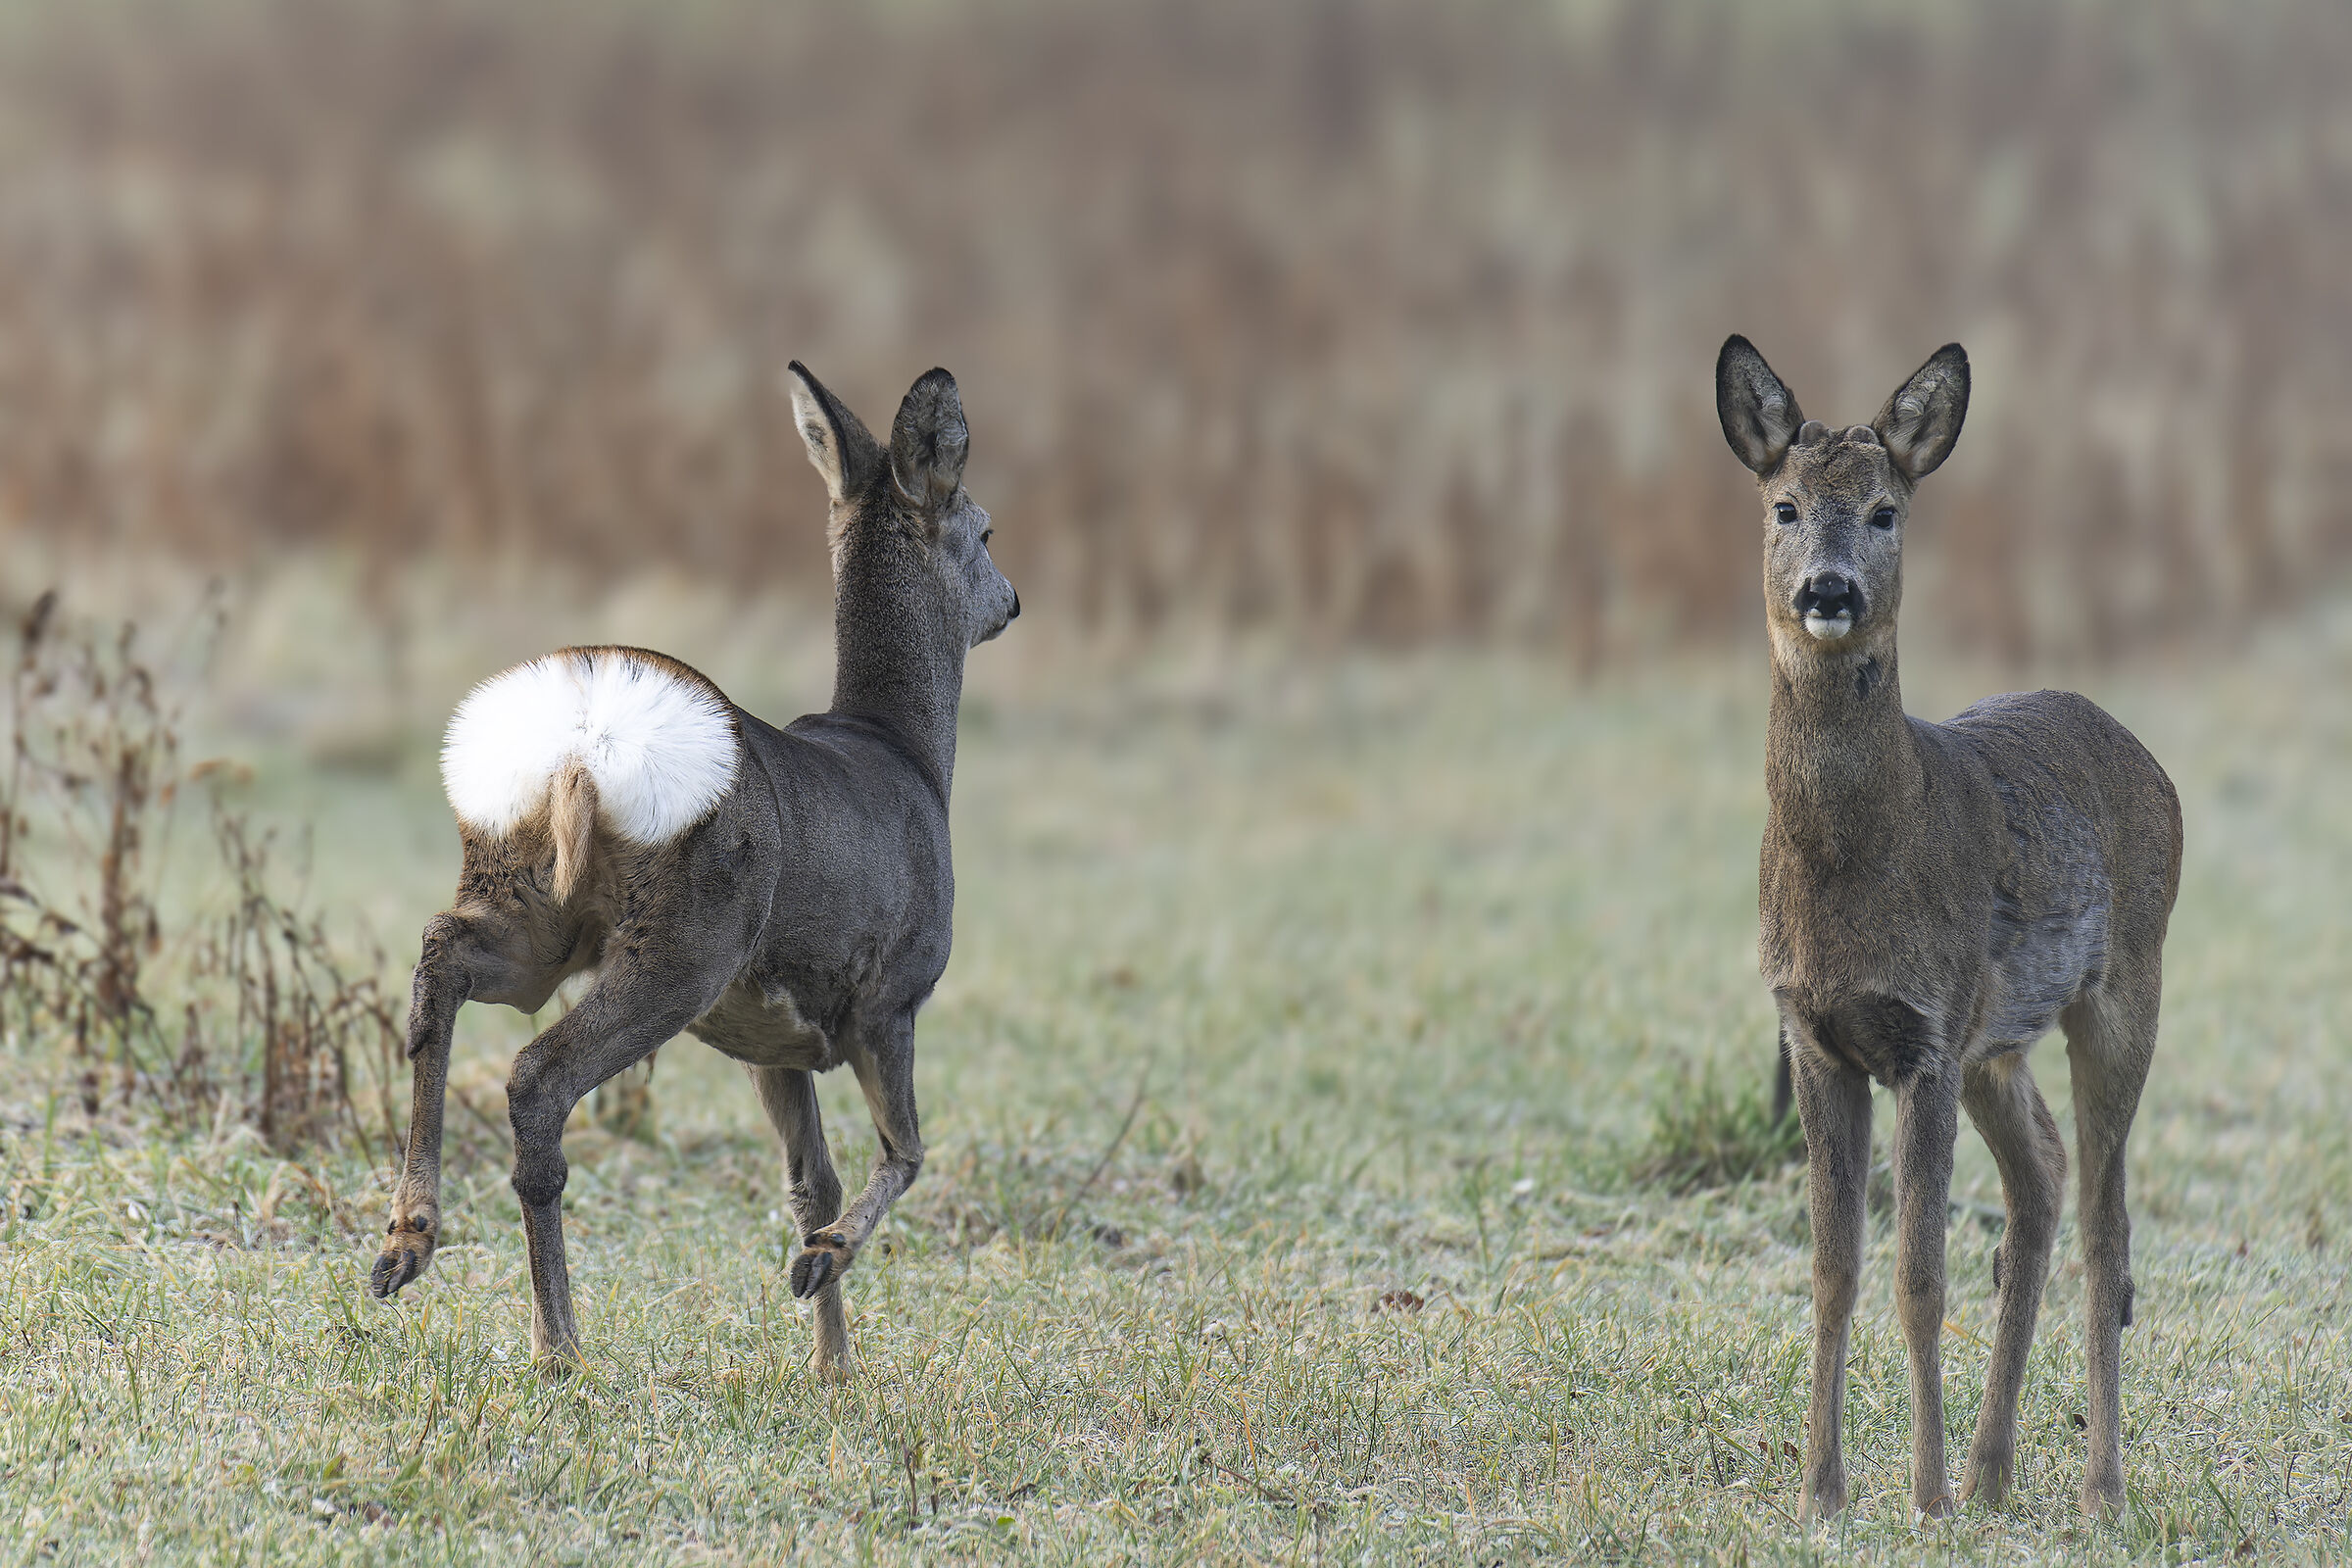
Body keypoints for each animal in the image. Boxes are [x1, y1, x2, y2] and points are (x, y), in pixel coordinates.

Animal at [368, 363, 1018, 1379]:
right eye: (986, 529)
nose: (1014, 600)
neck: (909, 757)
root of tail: (582, 744)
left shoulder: (772, 1041)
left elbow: (812, 1182)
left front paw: (833, 1365)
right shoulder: (891, 993)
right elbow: (906, 1152)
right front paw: (821, 1272)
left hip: (534, 910)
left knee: (441, 963)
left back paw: (406, 1241)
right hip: (687, 941)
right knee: (537, 1075)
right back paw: (558, 1345)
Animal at [1715, 336, 2181, 1521]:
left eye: (1886, 510)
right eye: (1784, 505)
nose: (1829, 590)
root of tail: (2149, 760)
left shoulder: (1925, 1030)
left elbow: (1918, 1277)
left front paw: (1917, 1496)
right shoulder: (1814, 1034)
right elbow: (1832, 1270)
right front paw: (1822, 1494)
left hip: (2124, 987)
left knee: (2107, 1226)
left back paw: (2098, 1485)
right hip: (1996, 1043)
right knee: (2044, 1177)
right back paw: (1992, 1472)